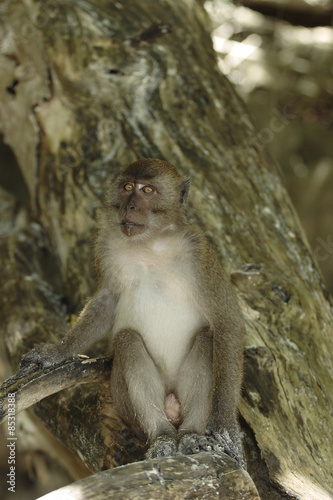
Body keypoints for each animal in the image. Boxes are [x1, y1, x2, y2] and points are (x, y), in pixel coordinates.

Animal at [20, 159, 244, 464]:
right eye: (127, 187)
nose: (131, 206)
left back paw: (190, 435)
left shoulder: (200, 252)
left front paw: (224, 426)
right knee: (127, 341)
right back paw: (162, 435)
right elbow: (108, 301)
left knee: (207, 337)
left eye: (147, 190)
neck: (150, 244)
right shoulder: (105, 245)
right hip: (124, 401)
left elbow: (226, 321)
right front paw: (56, 351)